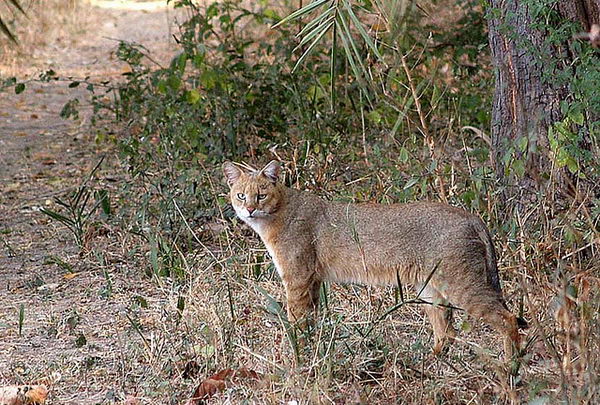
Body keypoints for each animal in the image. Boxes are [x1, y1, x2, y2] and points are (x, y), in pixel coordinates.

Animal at [224, 159, 524, 356]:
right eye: (241, 195)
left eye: (261, 195)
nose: (249, 210)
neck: (278, 215)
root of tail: (471, 216)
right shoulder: (313, 280)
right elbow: (311, 319)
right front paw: (312, 348)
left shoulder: (297, 277)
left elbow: (296, 320)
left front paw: (297, 353)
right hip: (430, 291)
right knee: (447, 332)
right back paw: (429, 360)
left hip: (461, 286)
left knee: (507, 319)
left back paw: (510, 367)